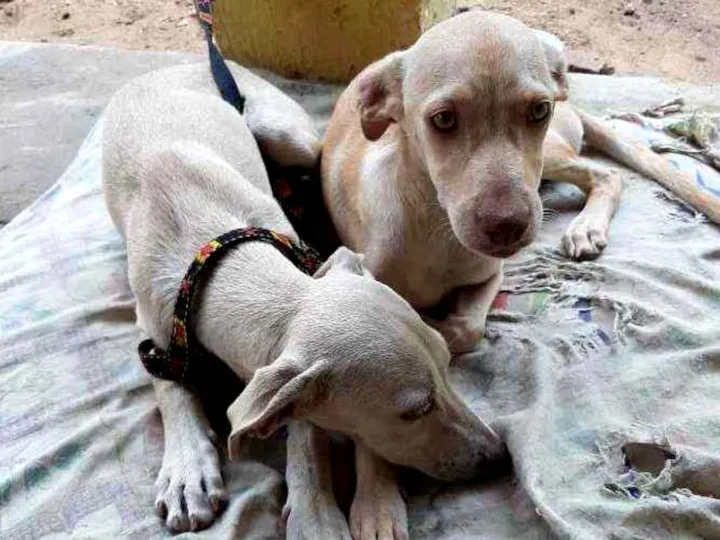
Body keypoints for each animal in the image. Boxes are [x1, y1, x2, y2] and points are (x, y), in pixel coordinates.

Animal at [102, 62, 505, 538]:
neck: (221, 259)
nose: (499, 457)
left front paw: (314, 512)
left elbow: (306, 433)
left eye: (448, 366)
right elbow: (171, 388)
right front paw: (187, 469)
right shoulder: (154, 328)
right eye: (415, 411)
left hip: (286, 134)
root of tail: (178, 64)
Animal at [322, 9, 687, 355]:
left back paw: (585, 228)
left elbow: (469, 328)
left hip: (550, 155)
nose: (507, 227)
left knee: (605, 173)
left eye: (540, 110)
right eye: (443, 119)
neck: (438, 235)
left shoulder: (490, 276)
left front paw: (434, 328)